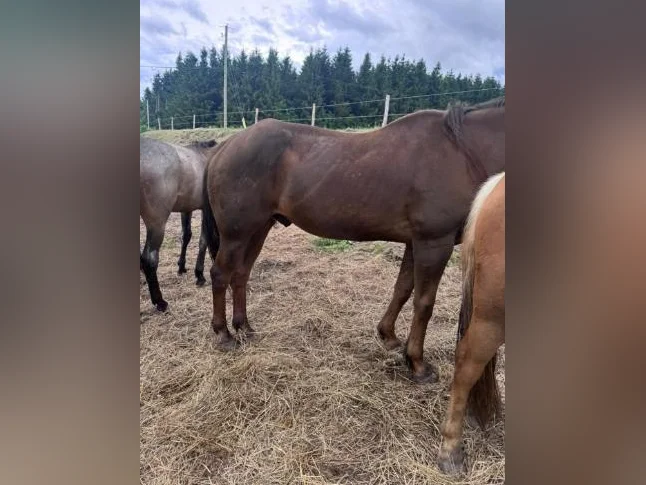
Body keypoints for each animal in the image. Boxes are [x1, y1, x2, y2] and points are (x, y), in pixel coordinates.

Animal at [140, 137, 217, 312]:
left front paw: (181, 267)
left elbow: (186, 236)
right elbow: (204, 240)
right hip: (157, 224)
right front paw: (199, 274)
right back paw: (160, 301)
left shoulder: (186, 209)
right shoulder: (205, 208)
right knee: (149, 259)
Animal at [202, 97, 504, 382]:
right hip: (236, 234)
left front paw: (389, 337)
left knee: (240, 275)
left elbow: (402, 290)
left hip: (258, 229)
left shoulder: (414, 243)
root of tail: (225, 147)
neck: (461, 153)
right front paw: (417, 364)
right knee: (220, 274)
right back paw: (224, 334)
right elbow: (424, 302)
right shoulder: (434, 243)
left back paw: (244, 327)